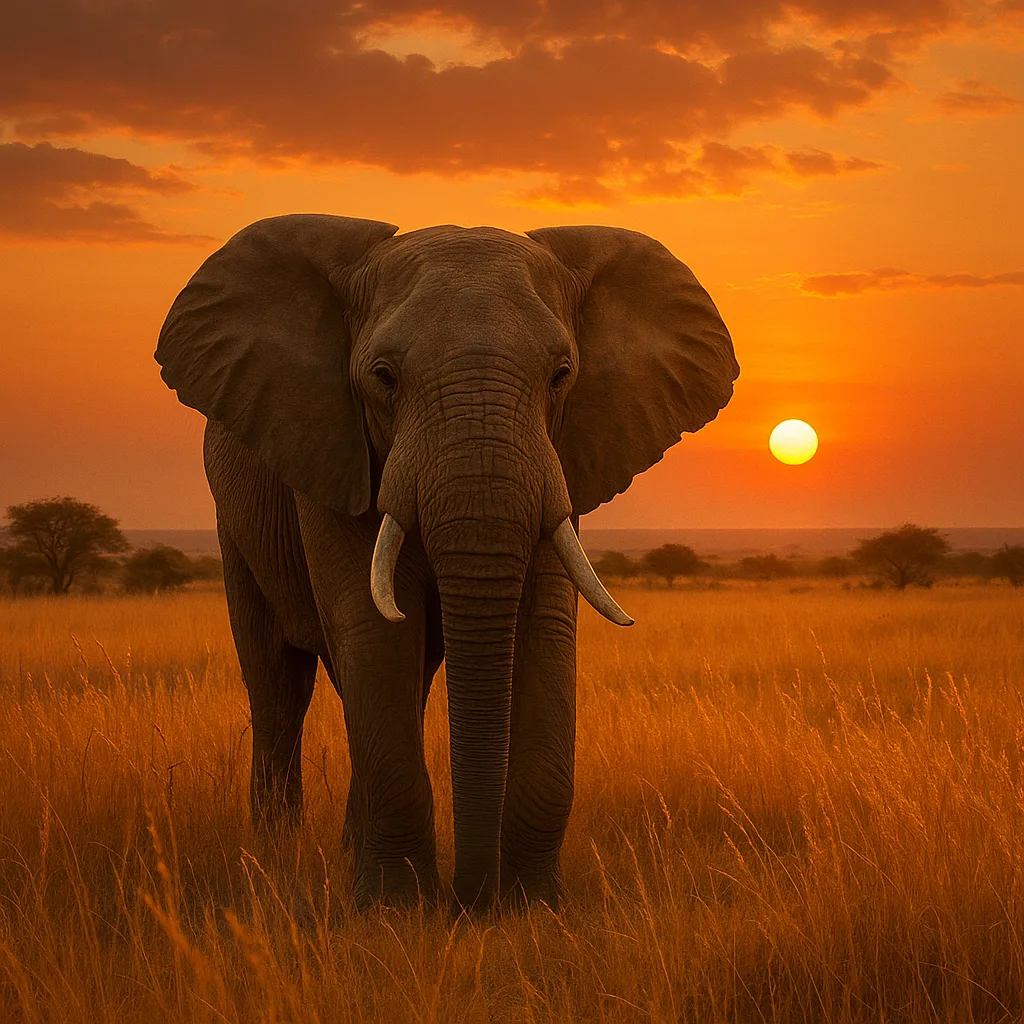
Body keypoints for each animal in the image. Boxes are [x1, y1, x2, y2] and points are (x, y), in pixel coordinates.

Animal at [155, 215, 738, 911]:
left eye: (561, 374)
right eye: (383, 377)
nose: (472, 900)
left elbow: (545, 629)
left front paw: (533, 907)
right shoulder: (332, 449)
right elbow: (372, 629)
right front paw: (393, 910)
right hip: (234, 528)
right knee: (279, 680)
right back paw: (275, 851)